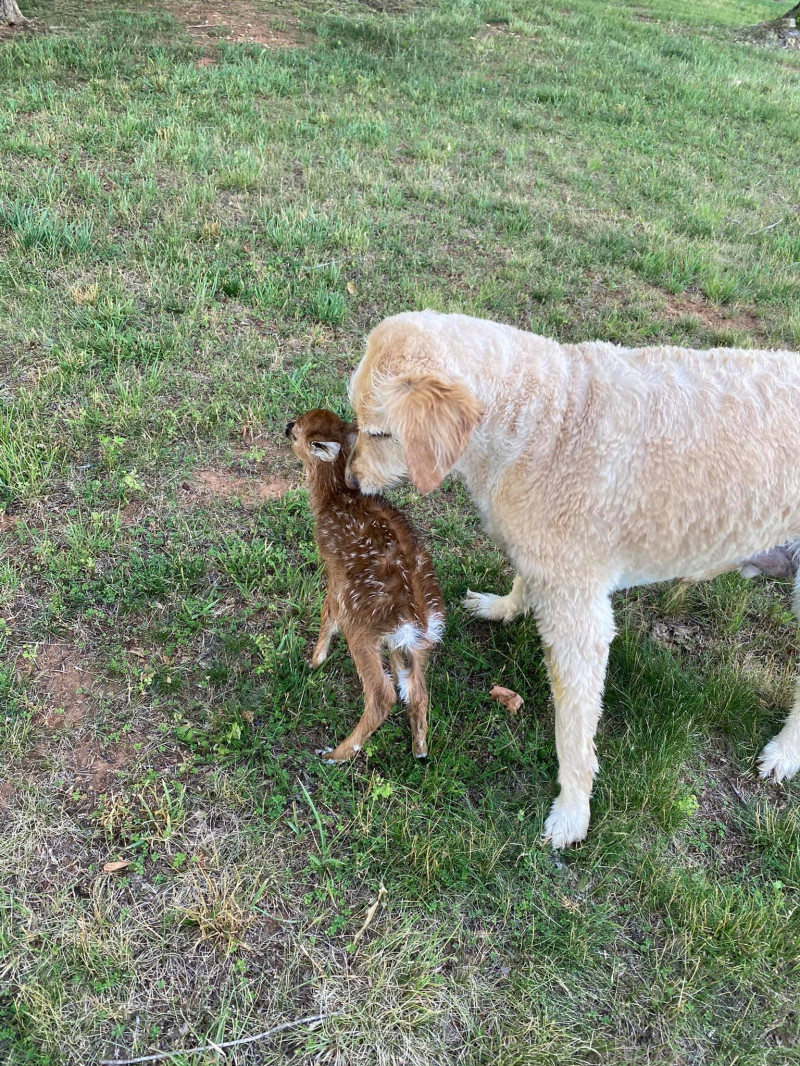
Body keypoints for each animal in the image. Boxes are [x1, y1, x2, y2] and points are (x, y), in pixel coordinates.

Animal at [345, 311, 800, 848]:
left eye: (380, 433)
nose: (349, 482)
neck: (543, 418)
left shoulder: (580, 616)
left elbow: (574, 729)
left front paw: (573, 812)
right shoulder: (542, 558)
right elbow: (523, 581)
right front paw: (503, 608)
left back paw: (785, 752)